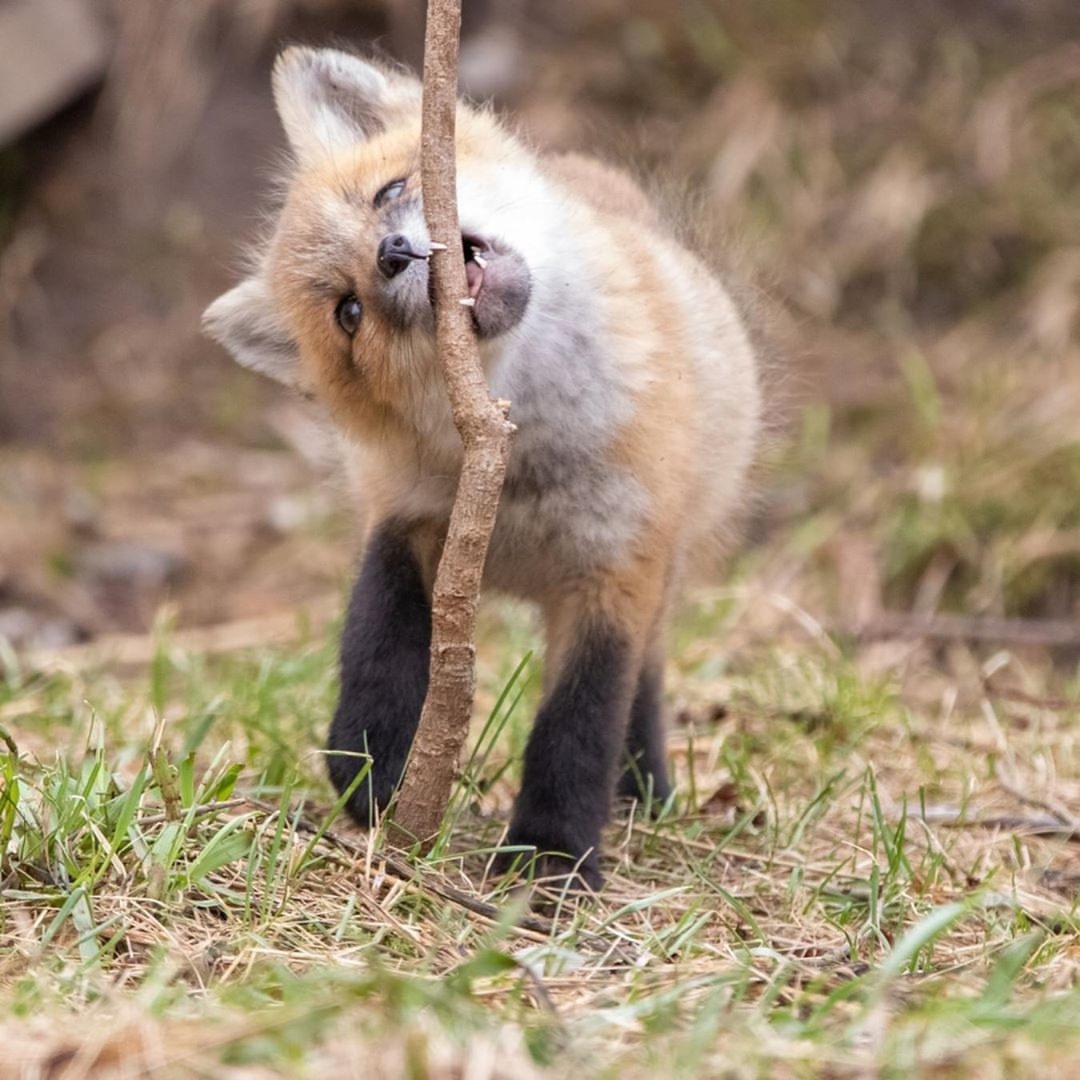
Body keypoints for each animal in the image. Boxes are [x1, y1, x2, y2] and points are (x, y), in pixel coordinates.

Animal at [203, 44, 760, 885]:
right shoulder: (410, 512)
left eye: (389, 192)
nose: (394, 252)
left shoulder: (616, 568)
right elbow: (374, 634)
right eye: (348, 314)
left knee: (646, 683)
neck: (519, 449)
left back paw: (644, 791)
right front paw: (373, 766)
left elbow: (579, 722)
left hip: (662, 576)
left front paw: (550, 859)